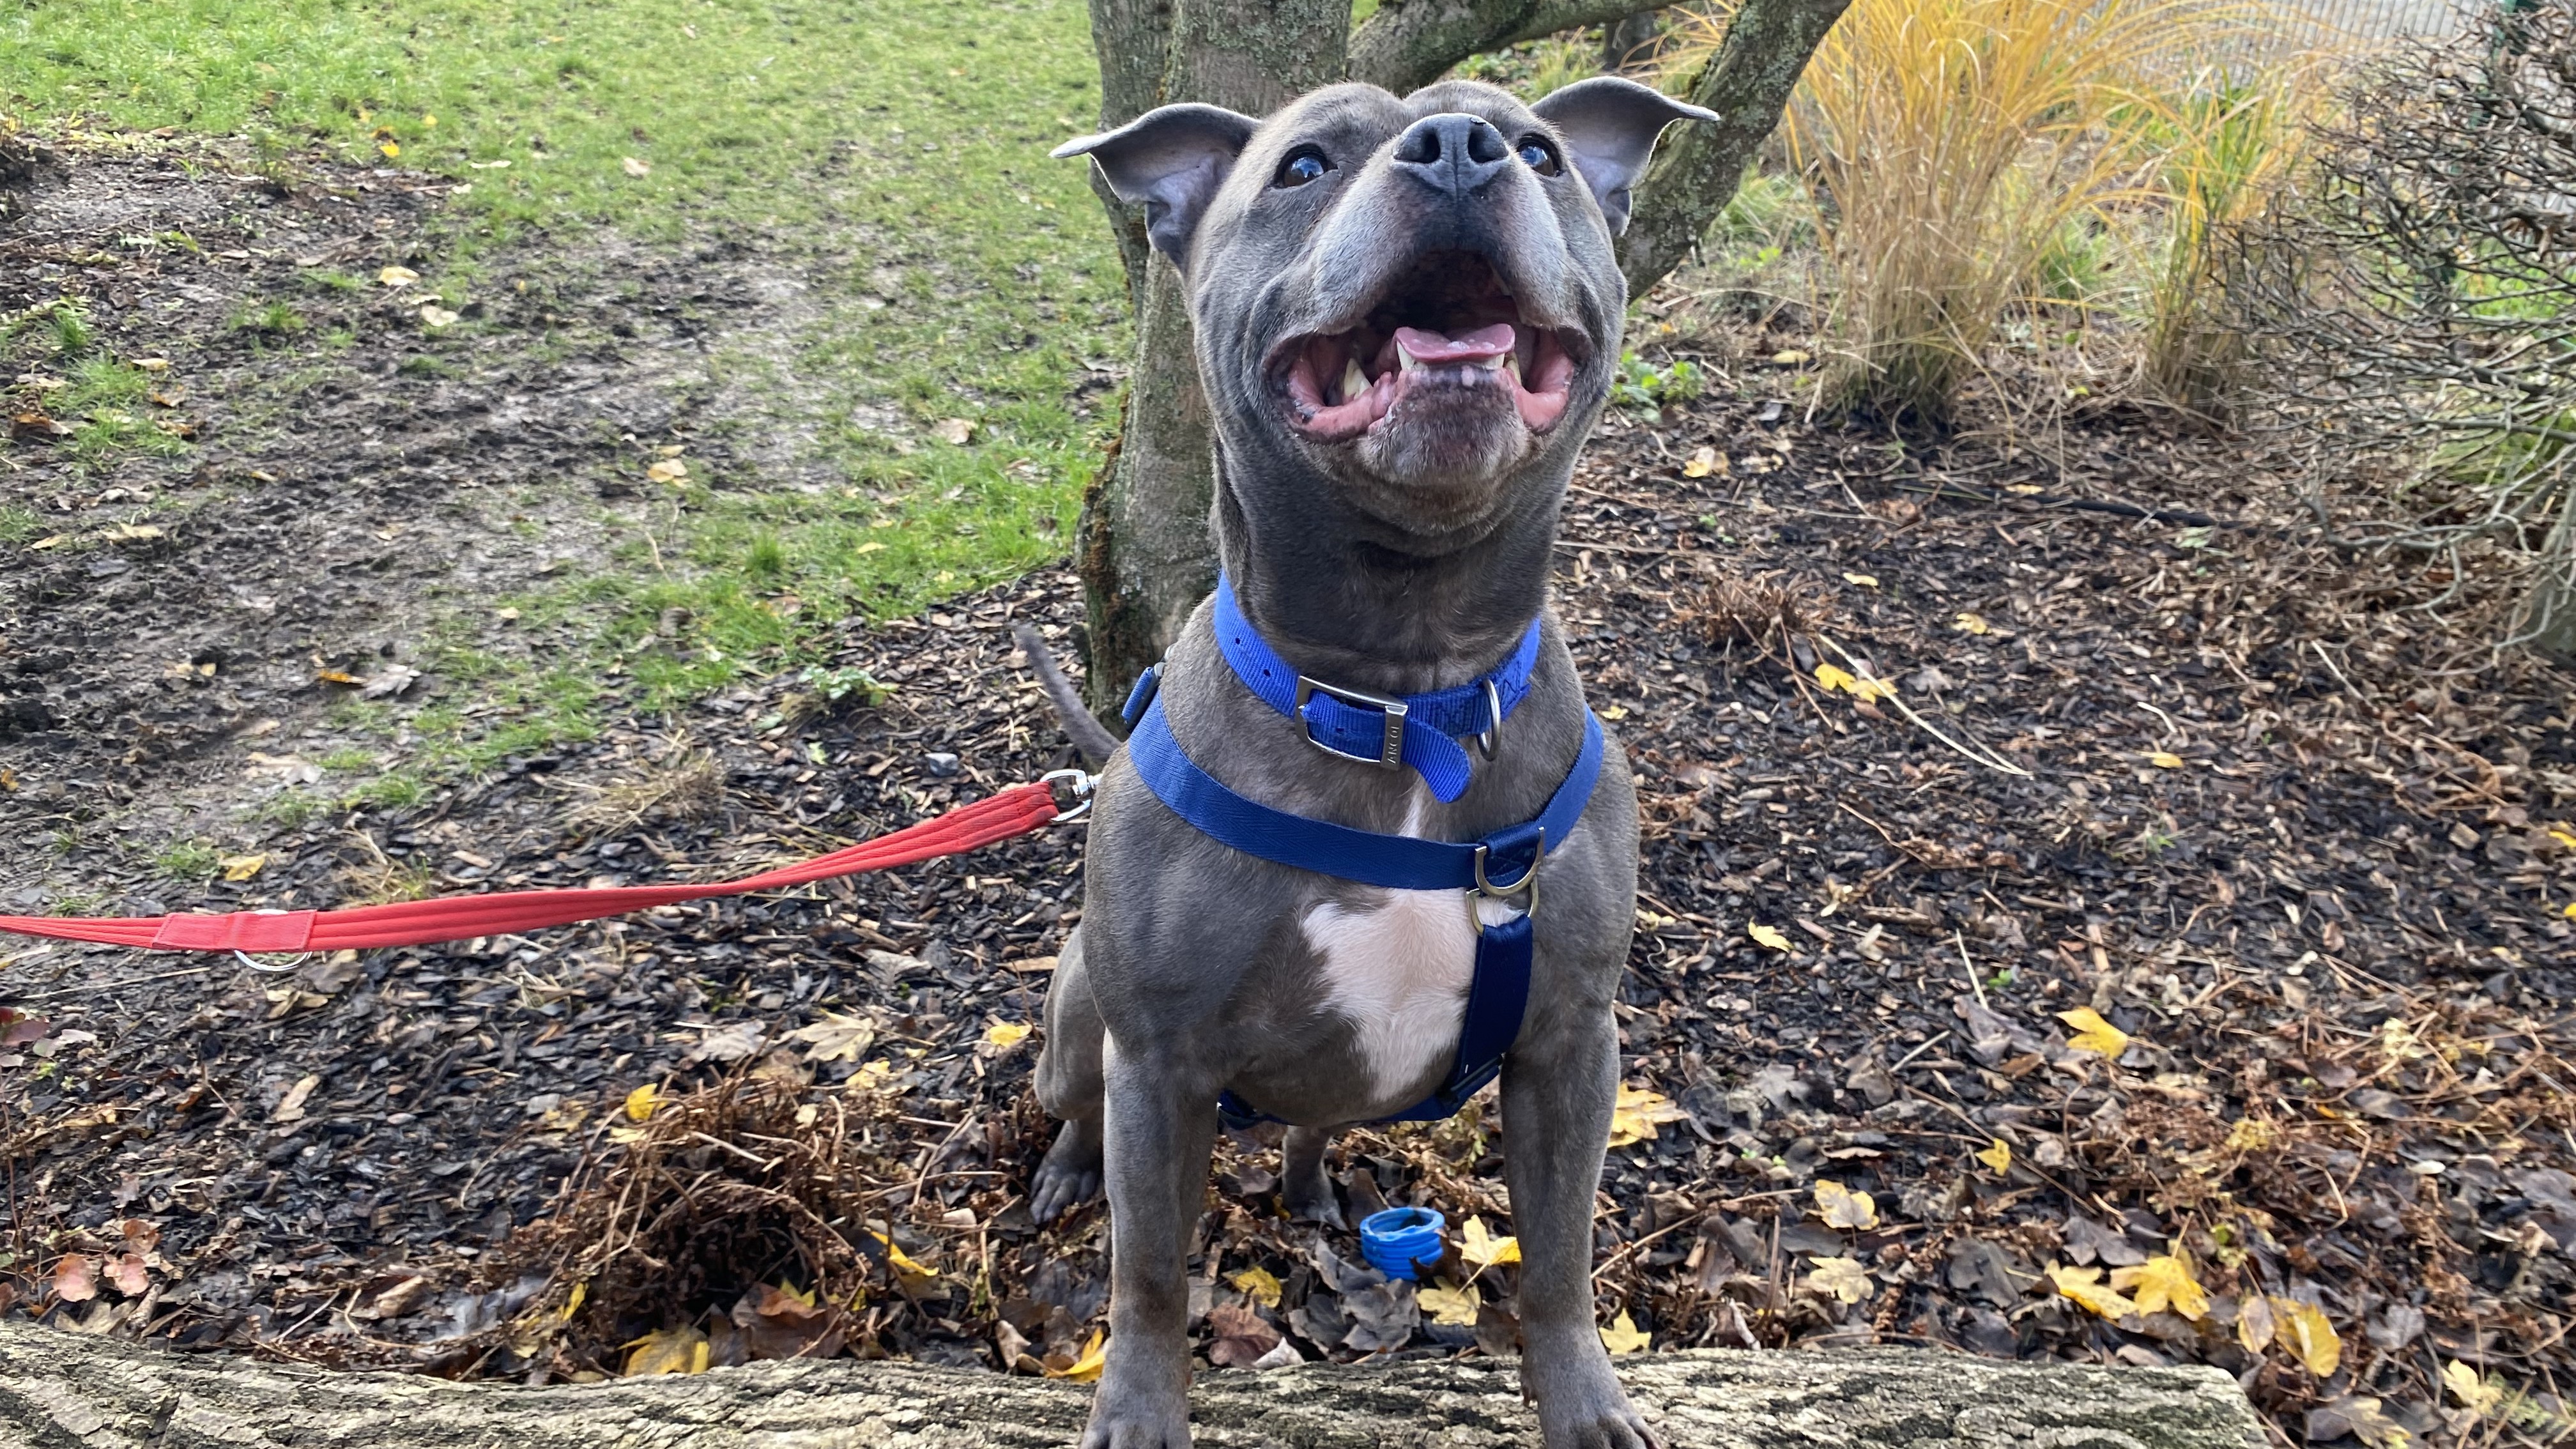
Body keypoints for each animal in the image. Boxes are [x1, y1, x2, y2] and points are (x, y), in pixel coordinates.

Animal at [1025, 76, 1712, 1449]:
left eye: (1543, 153)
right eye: (1301, 166)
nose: (1459, 149)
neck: (1401, 691)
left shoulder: (1570, 1044)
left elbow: (1561, 1253)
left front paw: (1585, 1398)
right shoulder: (1158, 1062)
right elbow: (1148, 1268)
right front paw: (1137, 1406)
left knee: (1310, 1124)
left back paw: (1308, 1188)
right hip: (1079, 1026)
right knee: (1076, 1103)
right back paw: (1070, 1169)